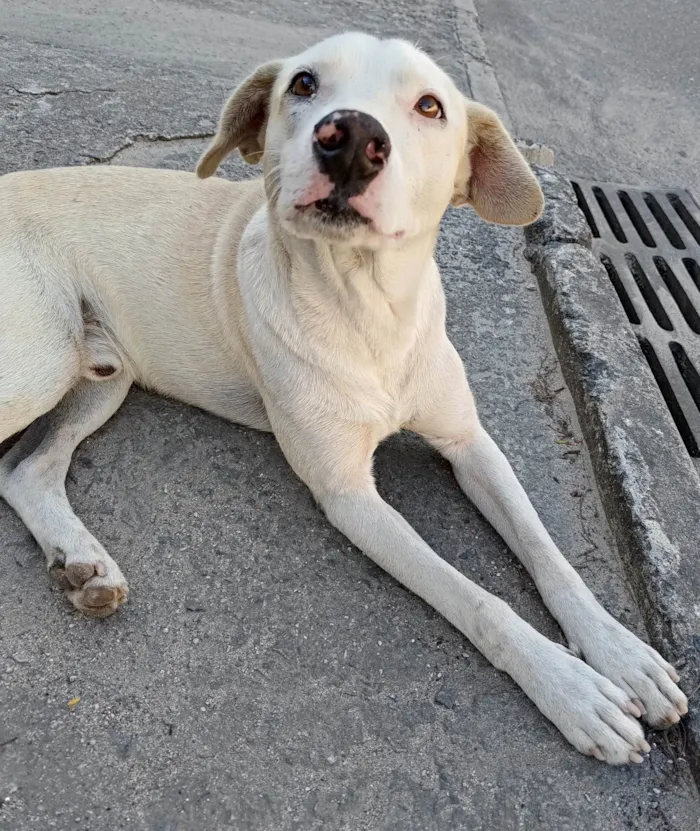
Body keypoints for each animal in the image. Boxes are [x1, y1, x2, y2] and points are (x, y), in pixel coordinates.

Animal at [0, 34, 688, 768]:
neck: (366, 310)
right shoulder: (350, 495)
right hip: (39, 364)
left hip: (100, 374)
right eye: (303, 83)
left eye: (430, 105)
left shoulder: (469, 442)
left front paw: (620, 651)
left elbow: (548, 555)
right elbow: (478, 601)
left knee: (27, 471)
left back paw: (84, 563)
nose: (351, 137)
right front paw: (570, 687)